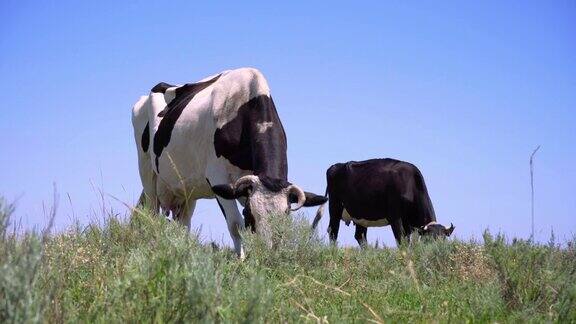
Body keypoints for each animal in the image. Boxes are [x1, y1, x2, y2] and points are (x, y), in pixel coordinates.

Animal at [132, 68, 326, 258]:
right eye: (249, 214)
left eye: (286, 215)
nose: (266, 252)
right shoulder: (218, 177)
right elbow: (235, 225)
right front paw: (241, 260)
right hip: (147, 172)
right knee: (151, 212)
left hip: (187, 190)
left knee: (183, 224)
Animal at [310, 159, 454, 246]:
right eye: (428, 240)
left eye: (444, 240)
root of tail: (336, 166)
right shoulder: (395, 217)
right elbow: (401, 240)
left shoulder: (409, 224)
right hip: (335, 207)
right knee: (333, 231)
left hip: (360, 214)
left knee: (360, 236)